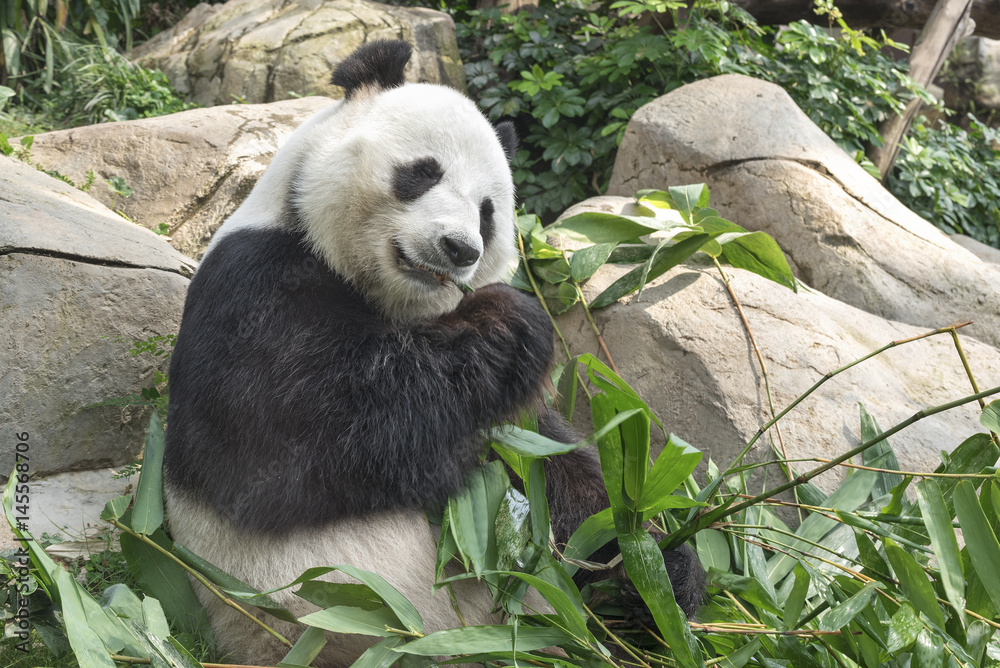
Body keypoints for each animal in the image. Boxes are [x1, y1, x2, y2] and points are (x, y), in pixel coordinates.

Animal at [163, 40, 704, 667]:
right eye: (422, 173)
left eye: (488, 211)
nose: (459, 247)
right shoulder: (251, 289)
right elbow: (295, 449)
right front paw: (509, 321)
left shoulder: (511, 424)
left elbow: (559, 475)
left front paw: (659, 571)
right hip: (337, 627)